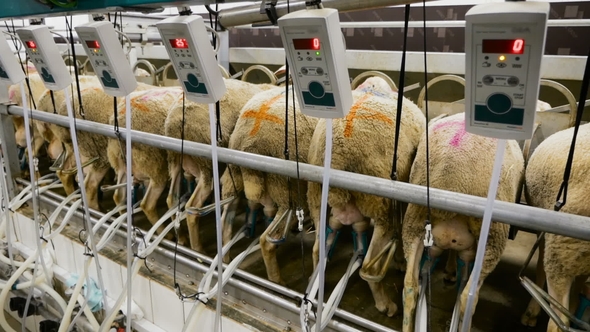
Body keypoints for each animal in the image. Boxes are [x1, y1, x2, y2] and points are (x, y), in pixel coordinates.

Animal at [107, 87, 185, 239]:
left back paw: (125, 224)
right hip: (155, 166)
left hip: (123, 165)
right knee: (148, 204)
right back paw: (168, 235)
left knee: (118, 196)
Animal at [217, 84, 320, 282]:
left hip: (233, 178)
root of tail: (251, 143)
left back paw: (226, 261)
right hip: (288, 191)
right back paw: (277, 281)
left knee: (225, 223)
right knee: (266, 241)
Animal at [308, 76, 428, 318]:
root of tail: (338, 154)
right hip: (382, 206)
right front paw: (400, 261)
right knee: (368, 268)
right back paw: (385, 304)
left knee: (316, 250)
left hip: (317, 198)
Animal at [402, 112, 528, 332]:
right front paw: (452, 271)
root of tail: (451, 176)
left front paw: (450, 270)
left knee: (410, 286)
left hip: (413, 221)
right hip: (492, 238)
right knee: (468, 297)